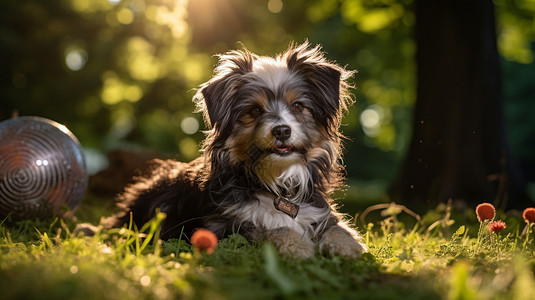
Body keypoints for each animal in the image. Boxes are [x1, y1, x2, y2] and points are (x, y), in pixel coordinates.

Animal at [101, 41, 368, 258]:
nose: (282, 130)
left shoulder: (318, 212)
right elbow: (270, 229)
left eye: (297, 106)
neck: (277, 183)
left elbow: (338, 227)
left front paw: (347, 245)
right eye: (254, 111)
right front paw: (298, 246)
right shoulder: (221, 227)